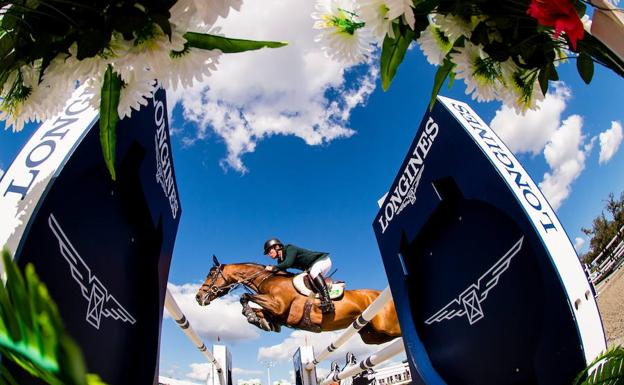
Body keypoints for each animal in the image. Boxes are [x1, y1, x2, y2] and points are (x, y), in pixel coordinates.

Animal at [195, 256, 400, 344]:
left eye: (211, 274)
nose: (198, 297)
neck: (266, 279)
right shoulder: (277, 315)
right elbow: (260, 311)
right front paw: (259, 320)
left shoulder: (278, 306)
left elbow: (244, 297)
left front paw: (251, 315)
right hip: (372, 335)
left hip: (385, 326)